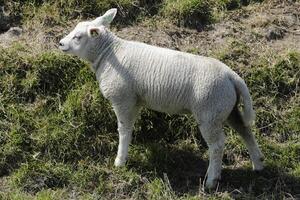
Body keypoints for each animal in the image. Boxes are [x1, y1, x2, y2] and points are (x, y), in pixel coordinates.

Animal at [59, 8, 264, 189]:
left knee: (217, 145)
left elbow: (123, 130)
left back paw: (212, 180)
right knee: (245, 131)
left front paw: (120, 161)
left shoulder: (123, 99)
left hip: (209, 111)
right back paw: (258, 164)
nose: (60, 43)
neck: (109, 53)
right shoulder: (135, 101)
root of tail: (232, 76)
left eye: (78, 37)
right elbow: (129, 128)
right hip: (227, 108)